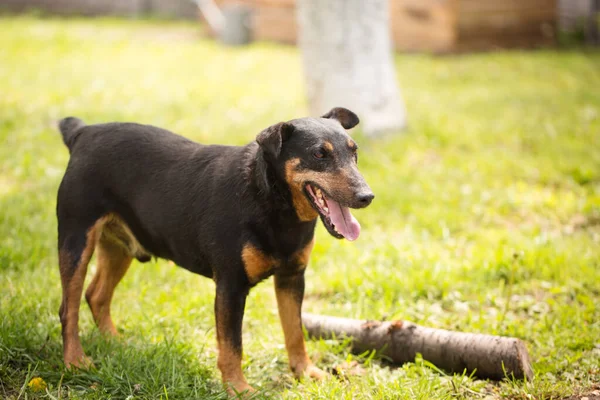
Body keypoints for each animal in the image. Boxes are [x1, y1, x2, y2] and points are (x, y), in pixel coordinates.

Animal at [57, 108, 376, 396]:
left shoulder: (292, 278)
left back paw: (115, 342)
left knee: (96, 295)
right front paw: (238, 388)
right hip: (76, 240)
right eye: (319, 154)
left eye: (354, 152)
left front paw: (306, 373)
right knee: (68, 308)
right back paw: (76, 362)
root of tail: (82, 132)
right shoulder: (231, 286)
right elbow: (232, 345)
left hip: (119, 246)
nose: (367, 196)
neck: (269, 199)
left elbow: (295, 332)